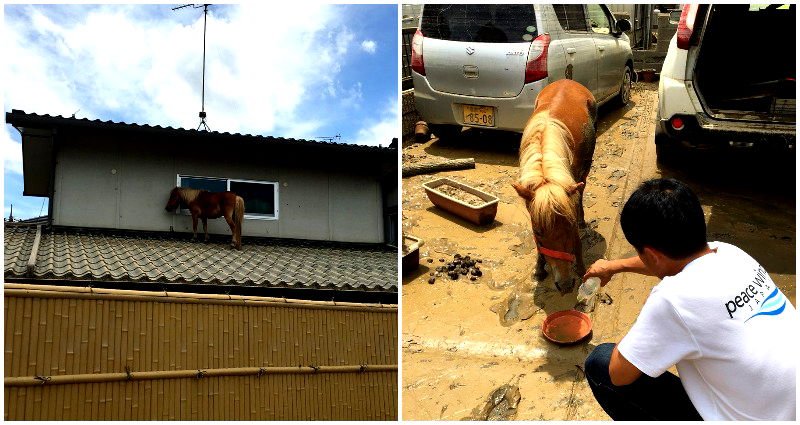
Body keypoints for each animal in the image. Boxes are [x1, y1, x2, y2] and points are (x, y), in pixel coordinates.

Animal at [512, 78, 592, 292]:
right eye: (539, 232)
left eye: (570, 226)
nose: (565, 285)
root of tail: (567, 80)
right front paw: (539, 268)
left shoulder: (570, 197)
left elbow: (577, 241)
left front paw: (581, 270)